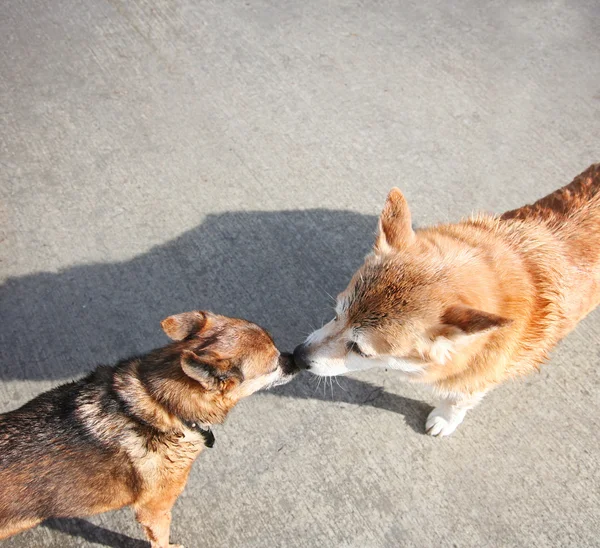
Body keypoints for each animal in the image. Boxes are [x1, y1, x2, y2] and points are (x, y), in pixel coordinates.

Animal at [296, 163, 600, 436]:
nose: (298, 356)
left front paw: (445, 419)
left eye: (360, 350)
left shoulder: (476, 379)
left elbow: (458, 400)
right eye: (336, 314)